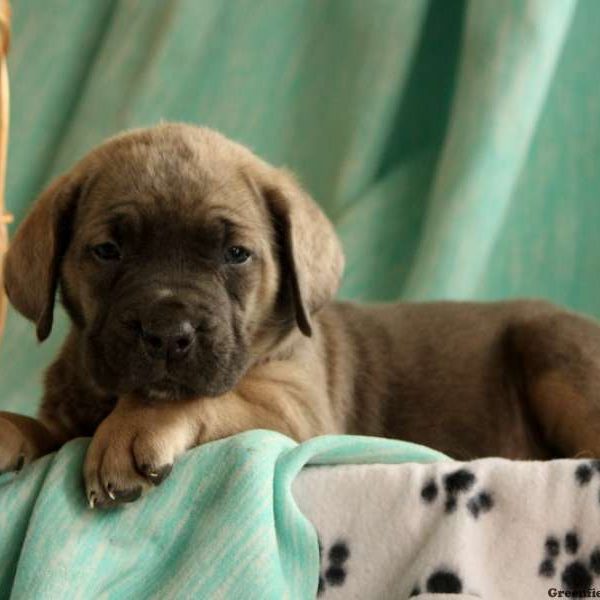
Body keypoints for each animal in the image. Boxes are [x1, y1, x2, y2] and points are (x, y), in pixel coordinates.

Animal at [1, 124, 600, 508]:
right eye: (107, 251)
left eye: (235, 254)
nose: (168, 334)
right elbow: (44, 427)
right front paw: (12, 430)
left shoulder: (295, 411)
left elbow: (202, 396)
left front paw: (133, 425)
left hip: (551, 346)